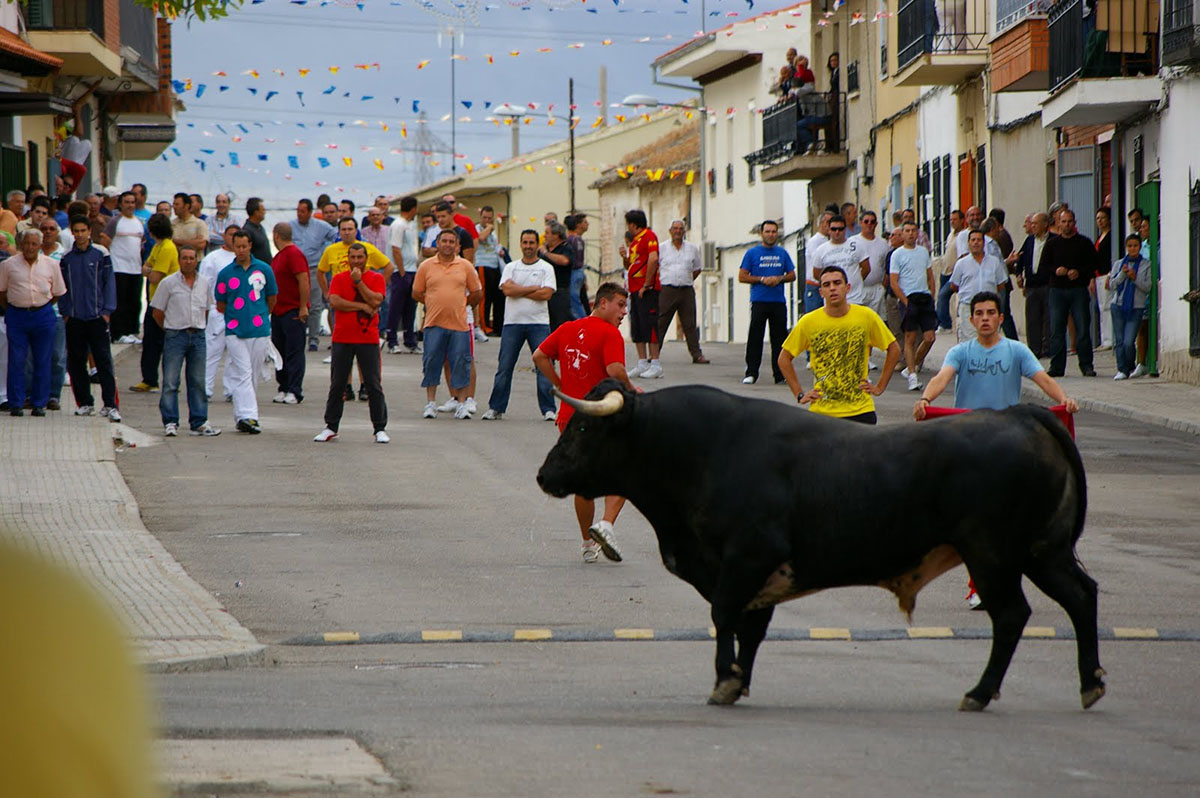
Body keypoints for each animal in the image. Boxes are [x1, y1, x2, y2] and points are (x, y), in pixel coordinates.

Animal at [537, 379, 1104, 710]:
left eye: (584, 426)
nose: (544, 475)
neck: (701, 451)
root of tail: (1019, 415)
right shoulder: (760, 573)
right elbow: (751, 627)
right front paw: (739, 680)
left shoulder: (748, 557)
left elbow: (725, 616)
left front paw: (724, 681)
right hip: (1043, 551)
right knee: (1081, 596)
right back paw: (1089, 682)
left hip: (992, 554)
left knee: (1010, 616)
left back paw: (980, 693)